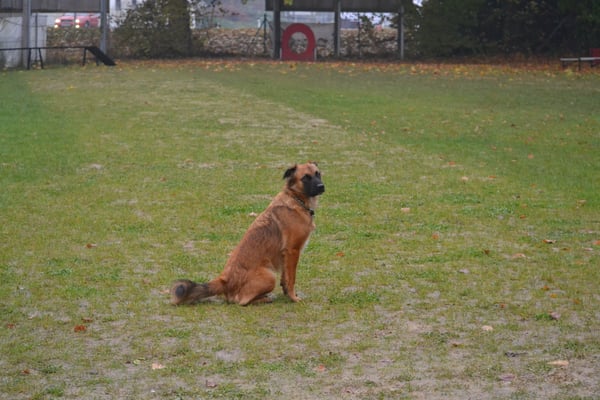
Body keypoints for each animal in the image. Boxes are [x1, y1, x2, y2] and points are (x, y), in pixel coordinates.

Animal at [170, 162, 325, 306]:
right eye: (305, 177)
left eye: (318, 174)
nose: (321, 186)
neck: (295, 199)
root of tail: (224, 281)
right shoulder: (292, 251)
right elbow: (291, 279)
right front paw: (294, 298)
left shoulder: (286, 255)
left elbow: (285, 279)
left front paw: (288, 294)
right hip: (269, 276)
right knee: (242, 301)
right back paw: (263, 299)